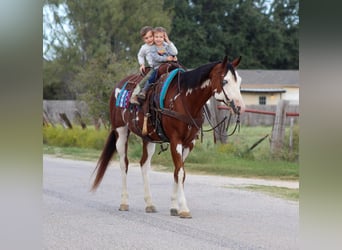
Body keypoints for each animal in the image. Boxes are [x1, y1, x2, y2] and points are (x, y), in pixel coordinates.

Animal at [91, 55, 246, 218]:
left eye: (239, 81)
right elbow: (180, 172)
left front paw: (174, 207)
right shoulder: (175, 140)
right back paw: (124, 202)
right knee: (124, 164)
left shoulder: (189, 143)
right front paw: (184, 209)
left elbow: (178, 172)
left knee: (144, 165)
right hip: (121, 131)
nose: (240, 106)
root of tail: (120, 85)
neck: (185, 99)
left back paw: (149, 203)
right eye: (225, 81)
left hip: (148, 138)